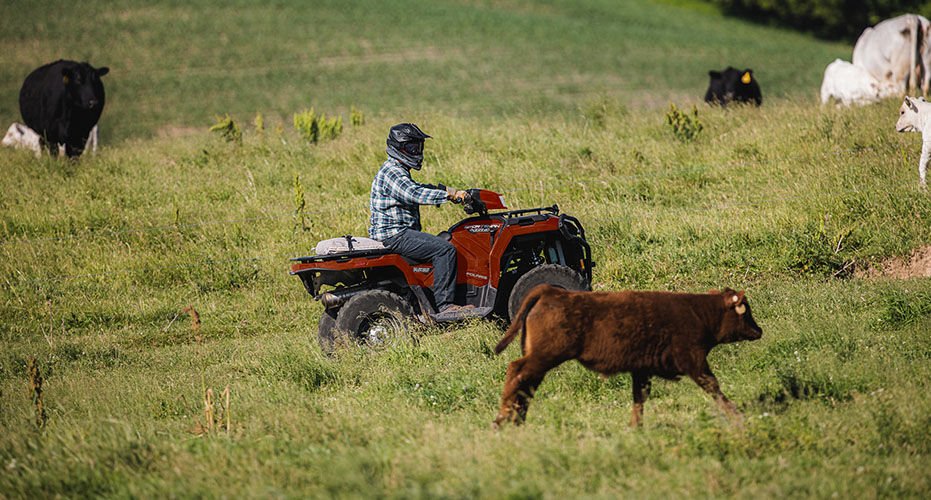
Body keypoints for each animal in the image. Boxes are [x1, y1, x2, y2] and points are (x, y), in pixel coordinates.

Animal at [492, 286, 760, 426]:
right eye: (745, 311)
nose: (759, 330)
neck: (699, 312)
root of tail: (554, 291)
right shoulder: (693, 360)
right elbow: (713, 386)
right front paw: (737, 415)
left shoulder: (641, 370)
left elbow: (639, 398)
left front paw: (636, 427)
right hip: (544, 356)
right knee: (516, 372)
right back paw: (503, 419)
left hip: (540, 360)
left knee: (526, 385)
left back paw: (517, 419)